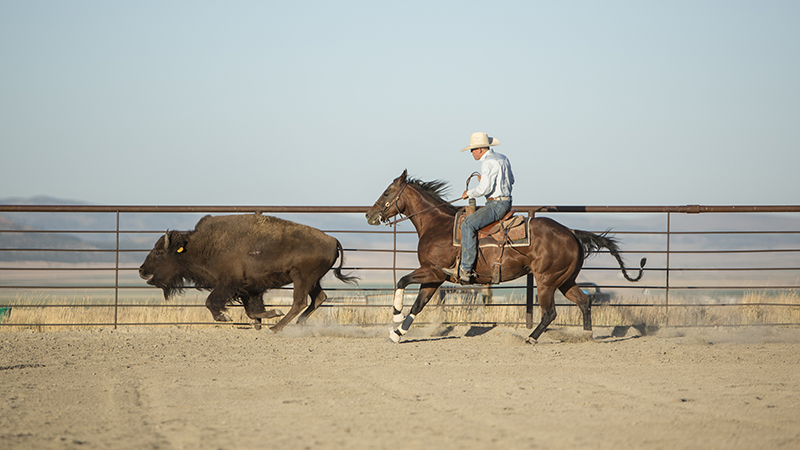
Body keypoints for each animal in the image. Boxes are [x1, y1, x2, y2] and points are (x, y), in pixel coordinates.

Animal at [138, 214, 358, 331]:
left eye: (158, 253)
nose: (141, 270)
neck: (204, 245)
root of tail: (332, 240)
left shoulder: (229, 282)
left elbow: (211, 301)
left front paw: (225, 318)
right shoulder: (248, 288)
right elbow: (252, 310)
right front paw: (270, 313)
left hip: (301, 278)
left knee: (300, 301)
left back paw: (276, 328)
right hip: (312, 280)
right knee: (318, 298)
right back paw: (296, 323)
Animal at [365, 169, 645, 344]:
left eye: (388, 192)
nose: (369, 215)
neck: (437, 225)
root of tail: (573, 233)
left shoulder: (432, 271)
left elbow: (401, 281)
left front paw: (395, 316)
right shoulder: (435, 277)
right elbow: (418, 304)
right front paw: (397, 334)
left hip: (546, 281)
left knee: (550, 313)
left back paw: (531, 338)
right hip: (565, 280)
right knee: (585, 302)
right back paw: (585, 337)